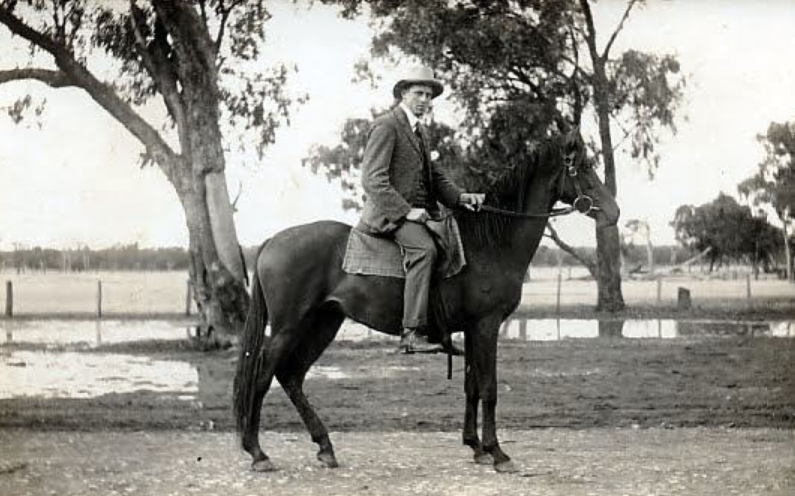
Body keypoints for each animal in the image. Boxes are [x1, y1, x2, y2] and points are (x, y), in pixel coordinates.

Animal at [233, 128, 620, 472]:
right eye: (584, 166)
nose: (613, 212)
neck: (490, 244)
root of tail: (271, 241)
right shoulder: (486, 326)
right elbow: (489, 387)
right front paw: (497, 453)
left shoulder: (471, 329)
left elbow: (471, 385)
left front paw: (475, 447)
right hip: (289, 327)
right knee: (264, 377)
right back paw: (257, 452)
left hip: (324, 323)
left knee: (291, 376)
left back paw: (325, 447)